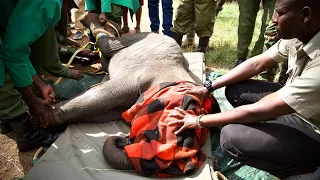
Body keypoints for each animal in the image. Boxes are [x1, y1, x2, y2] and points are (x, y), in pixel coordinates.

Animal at [52, 14, 220, 177]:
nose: (124, 138)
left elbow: (100, 112)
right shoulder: (146, 74)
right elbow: (102, 94)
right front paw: (48, 115)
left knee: (106, 56)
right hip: (136, 38)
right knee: (108, 45)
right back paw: (93, 20)